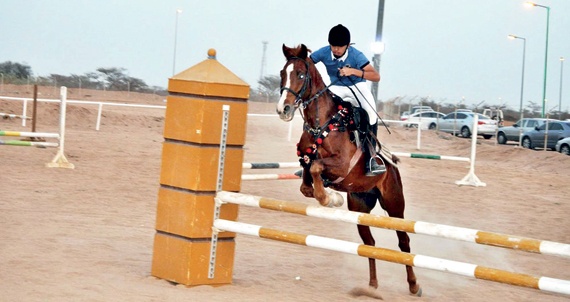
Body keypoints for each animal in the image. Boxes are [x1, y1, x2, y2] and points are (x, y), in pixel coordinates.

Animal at [278, 43, 420, 296]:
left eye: (301, 75)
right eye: (282, 74)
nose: (283, 109)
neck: (323, 124)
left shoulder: (342, 164)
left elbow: (317, 167)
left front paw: (328, 198)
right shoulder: (306, 158)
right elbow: (307, 181)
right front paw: (331, 197)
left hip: (394, 204)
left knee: (403, 241)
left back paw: (414, 285)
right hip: (360, 206)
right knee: (369, 244)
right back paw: (372, 285)